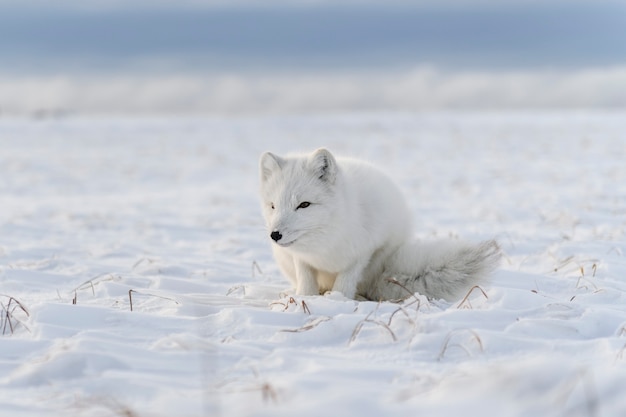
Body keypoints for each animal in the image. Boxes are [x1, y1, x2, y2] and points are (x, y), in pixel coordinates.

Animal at [258, 148, 498, 300]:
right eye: (273, 206)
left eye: (304, 205)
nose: (275, 235)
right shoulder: (302, 259)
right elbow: (306, 281)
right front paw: (304, 300)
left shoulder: (363, 252)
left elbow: (345, 282)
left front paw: (337, 301)